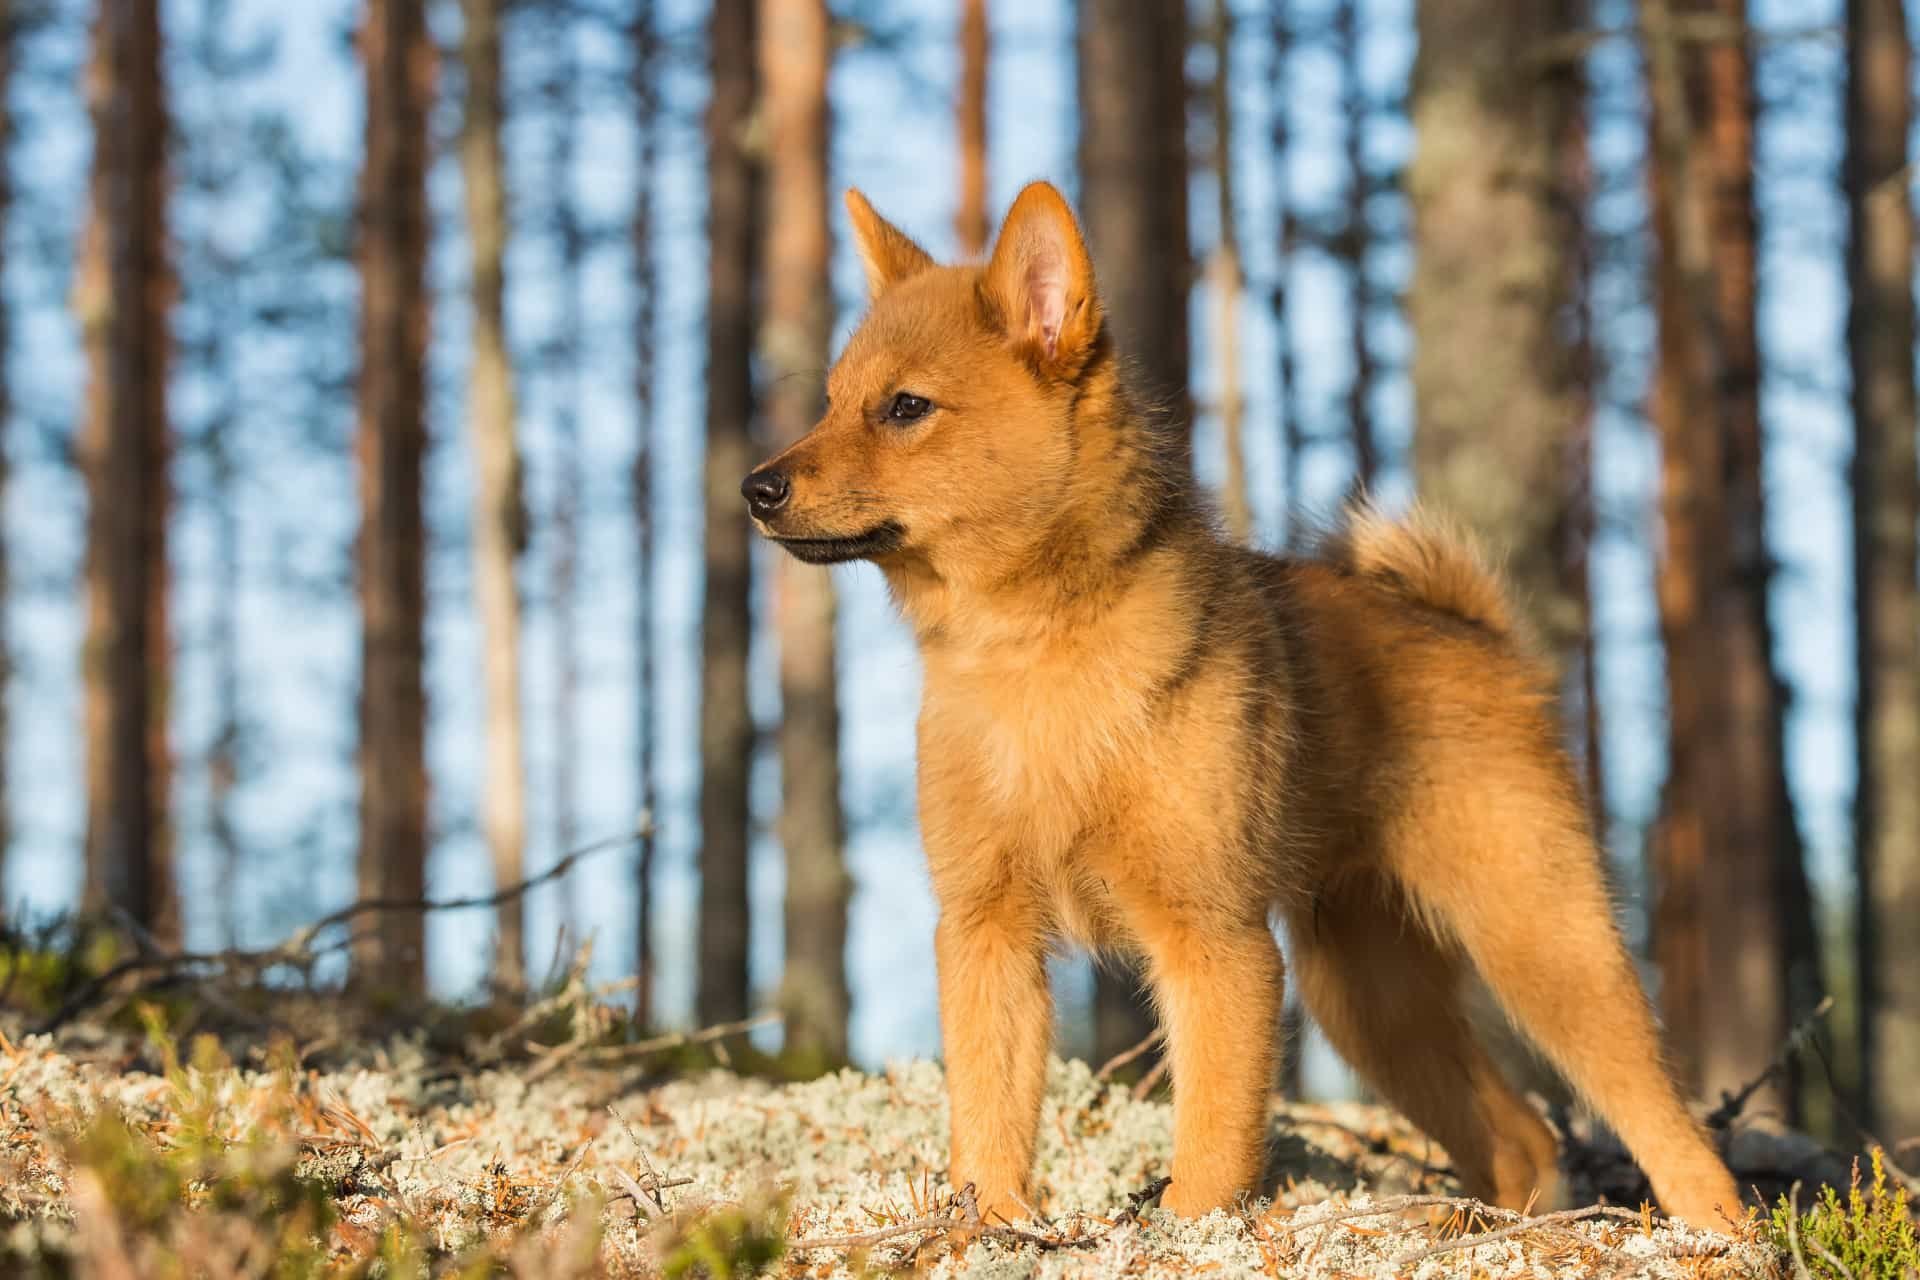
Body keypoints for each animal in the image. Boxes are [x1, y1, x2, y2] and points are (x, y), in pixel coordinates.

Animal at [741, 180, 1751, 1228]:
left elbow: (1214, 1144)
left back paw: (1718, 1233)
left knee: (1663, 1122)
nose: (754, 487)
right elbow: (989, 1120)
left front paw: (1183, 1230)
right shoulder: (988, 932)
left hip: (1544, 947)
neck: (1033, 661)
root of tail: (1481, 638)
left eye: (906, 407)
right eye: (830, 402)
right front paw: (987, 1228)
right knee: (1520, 1137)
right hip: (1371, 1002)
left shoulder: (1214, 944)